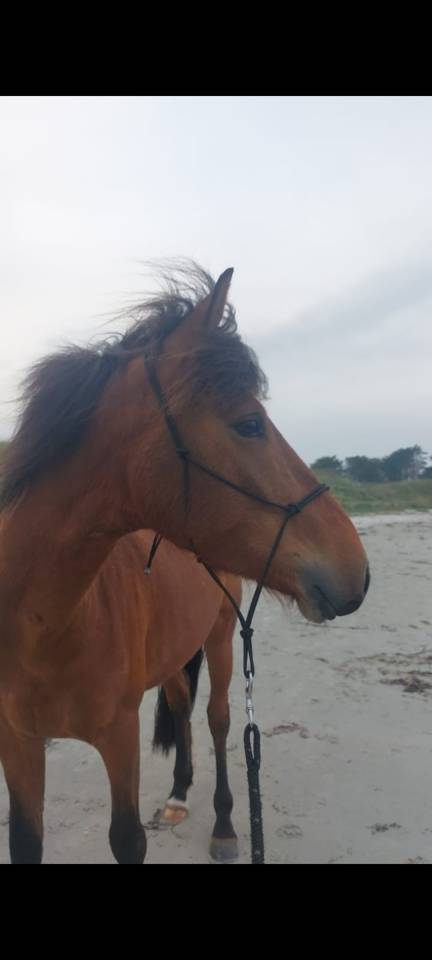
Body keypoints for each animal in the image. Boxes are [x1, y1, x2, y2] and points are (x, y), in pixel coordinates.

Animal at [0, 263, 369, 864]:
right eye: (249, 424)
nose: (357, 568)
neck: (43, 624)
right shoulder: (18, 743)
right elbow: (25, 841)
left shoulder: (119, 735)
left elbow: (127, 838)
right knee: (181, 707)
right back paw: (177, 794)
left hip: (221, 640)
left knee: (219, 721)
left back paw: (223, 825)